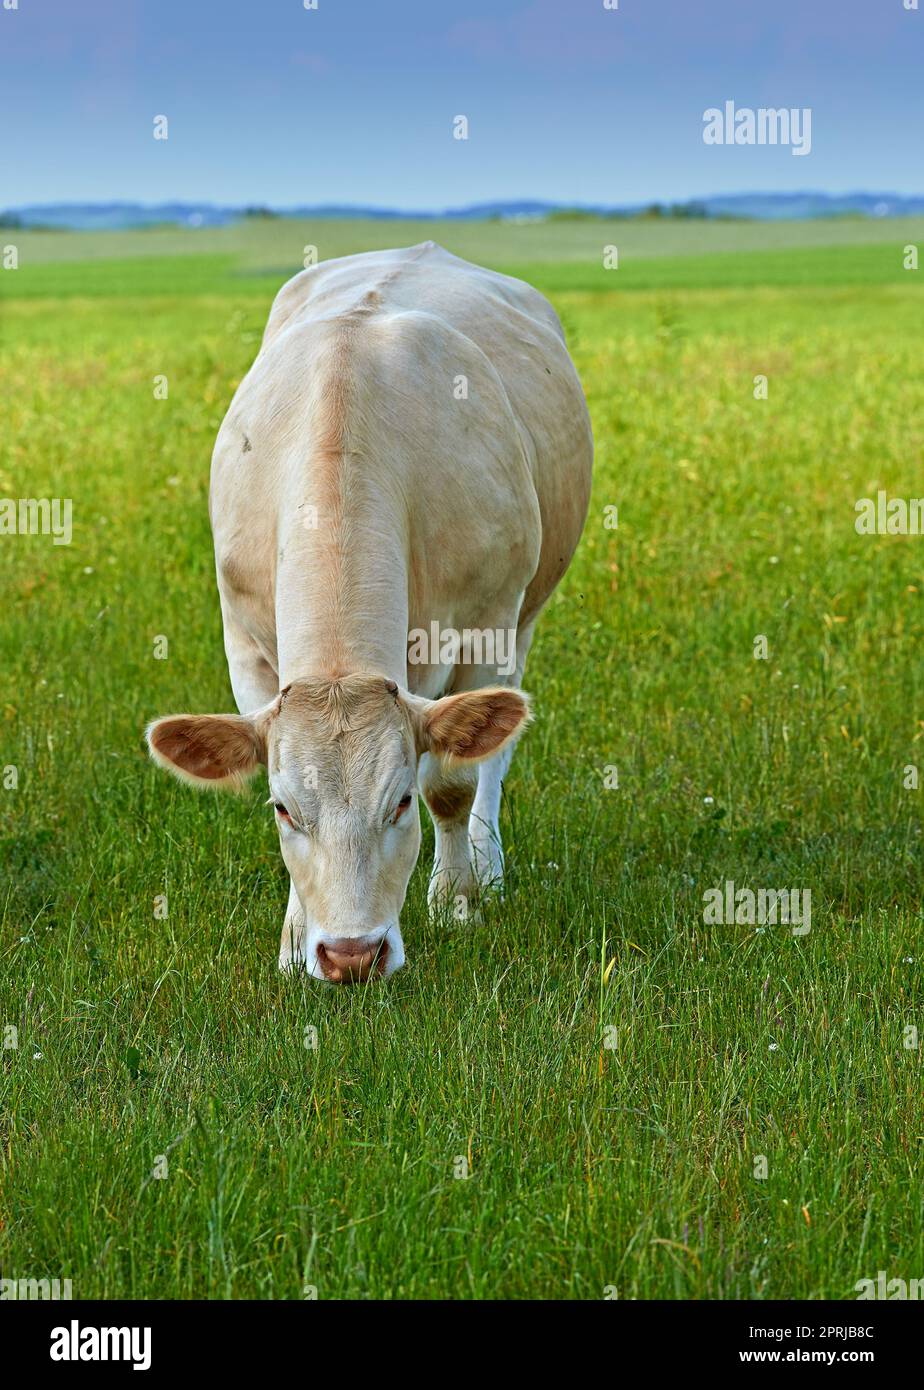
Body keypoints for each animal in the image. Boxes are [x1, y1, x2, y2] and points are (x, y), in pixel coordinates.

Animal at [145, 244, 591, 984]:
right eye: (283, 808)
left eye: (400, 802)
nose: (352, 954)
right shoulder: (246, 644)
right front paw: (295, 942)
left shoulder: (488, 625)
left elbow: (455, 782)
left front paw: (457, 900)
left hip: (526, 614)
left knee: (496, 754)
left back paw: (488, 864)